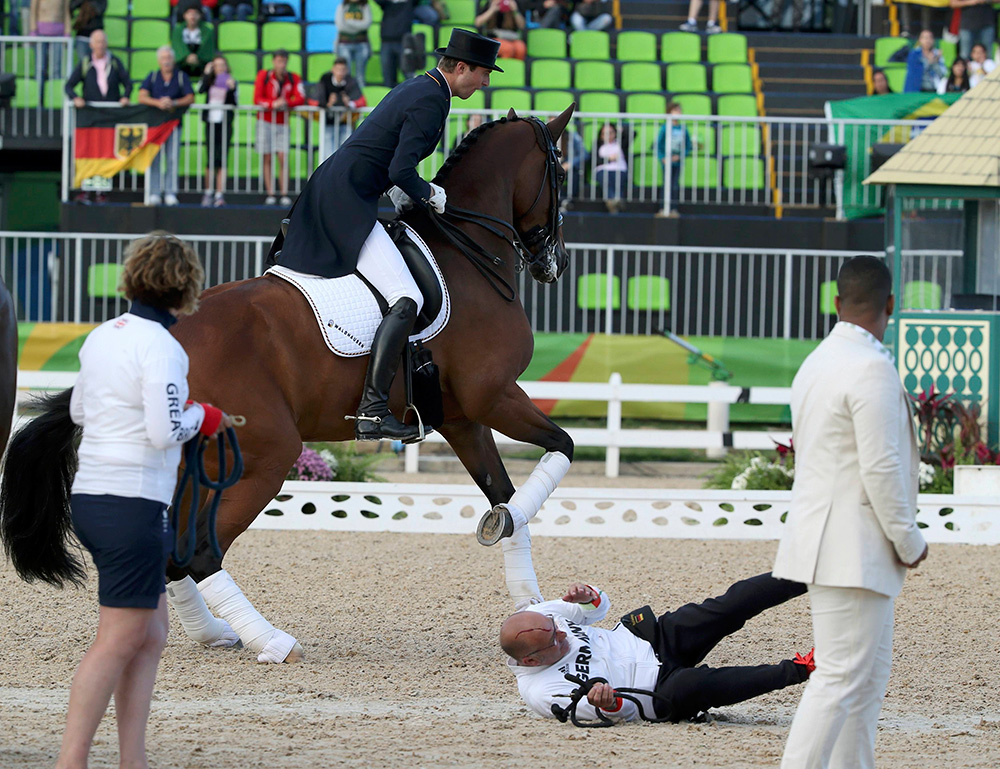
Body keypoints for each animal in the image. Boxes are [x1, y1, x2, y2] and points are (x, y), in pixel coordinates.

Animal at [0, 105, 580, 664]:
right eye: (561, 173)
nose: (555, 264)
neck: (468, 253)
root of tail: (161, 334)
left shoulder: (463, 417)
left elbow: (505, 491)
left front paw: (529, 594)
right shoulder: (496, 396)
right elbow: (561, 448)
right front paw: (508, 528)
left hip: (197, 463)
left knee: (175, 551)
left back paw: (211, 632)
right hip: (266, 454)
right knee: (201, 552)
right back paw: (271, 642)